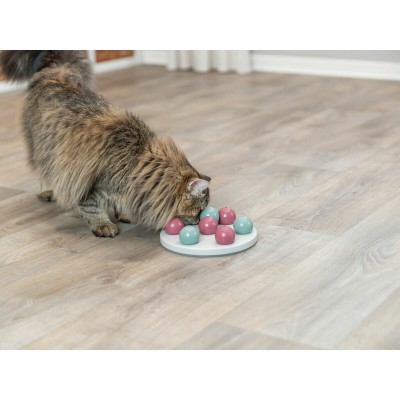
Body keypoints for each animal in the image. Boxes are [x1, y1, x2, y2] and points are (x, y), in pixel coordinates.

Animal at [0, 50, 210, 237]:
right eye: (199, 210)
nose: (199, 222)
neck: (138, 161)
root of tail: (57, 70)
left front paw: (123, 213)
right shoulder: (94, 186)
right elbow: (93, 209)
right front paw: (103, 225)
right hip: (43, 145)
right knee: (43, 169)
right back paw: (47, 191)